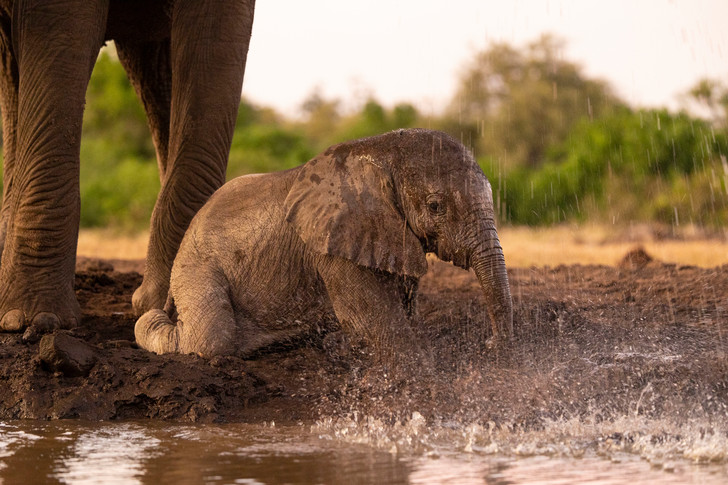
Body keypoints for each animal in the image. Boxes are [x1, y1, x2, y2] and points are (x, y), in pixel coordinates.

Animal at [135, 129, 512, 360]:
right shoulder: (334, 243)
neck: (382, 149)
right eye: (435, 206)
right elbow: (374, 323)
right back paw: (151, 320)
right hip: (197, 264)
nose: (491, 344)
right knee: (211, 337)